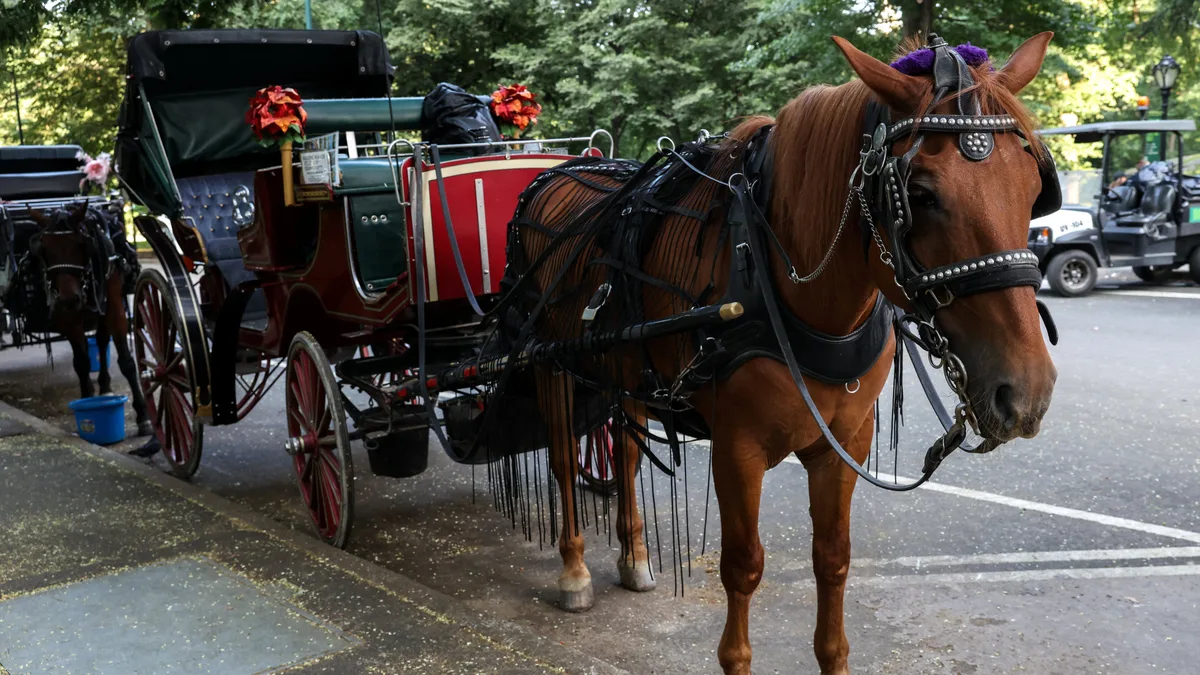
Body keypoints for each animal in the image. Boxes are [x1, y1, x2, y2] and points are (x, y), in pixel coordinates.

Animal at [28, 201, 151, 436]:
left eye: (80, 245)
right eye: (44, 249)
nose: (69, 298)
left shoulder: (113, 305)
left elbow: (126, 361)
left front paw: (143, 415)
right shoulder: (67, 315)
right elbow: (82, 362)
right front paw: (86, 398)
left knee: (102, 341)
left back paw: (105, 384)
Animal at [501, 33, 1058, 673]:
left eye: (1032, 188)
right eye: (918, 194)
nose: (1027, 391)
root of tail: (560, 171)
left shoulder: (842, 444)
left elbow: (833, 559)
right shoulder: (736, 450)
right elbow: (743, 568)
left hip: (626, 372)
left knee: (626, 455)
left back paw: (635, 557)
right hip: (552, 364)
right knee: (563, 460)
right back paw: (573, 569)